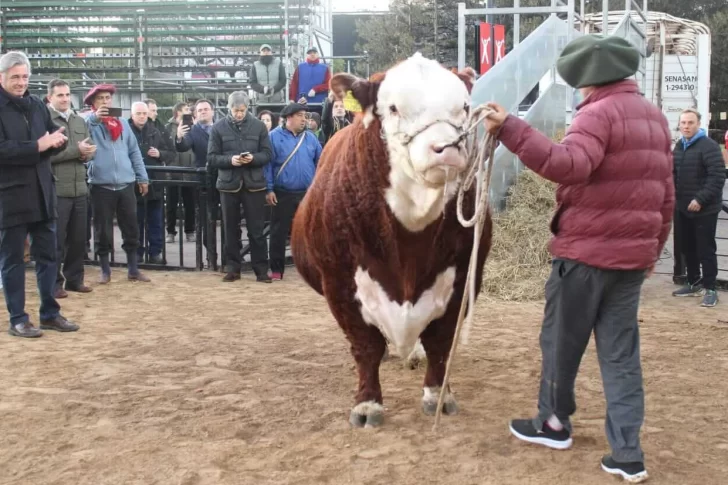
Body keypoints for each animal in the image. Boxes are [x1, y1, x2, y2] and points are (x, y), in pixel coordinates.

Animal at [292, 52, 494, 424]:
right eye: (394, 108)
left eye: (464, 106)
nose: (447, 148)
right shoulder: (339, 282)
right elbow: (366, 346)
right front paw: (367, 403)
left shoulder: (461, 278)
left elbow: (441, 343)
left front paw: (437, 396)